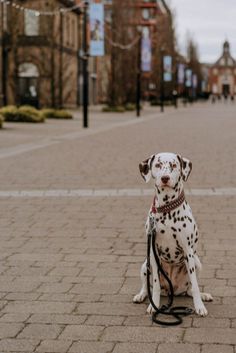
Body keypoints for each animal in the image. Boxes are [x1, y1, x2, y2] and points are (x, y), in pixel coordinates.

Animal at [134, 153, 213, 314]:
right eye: (158, 165)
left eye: (174, 165)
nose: (165, 178)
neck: (167, 210)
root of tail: (174, 290)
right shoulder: (153, 253)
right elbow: (155, 285)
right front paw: (153, 305)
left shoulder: (188, 252)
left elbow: (195, 285)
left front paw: (200, 306)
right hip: (146, 264)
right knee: (147, 286)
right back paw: (141, 295)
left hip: (197, 262)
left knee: (190, 289)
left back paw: (204, 295)